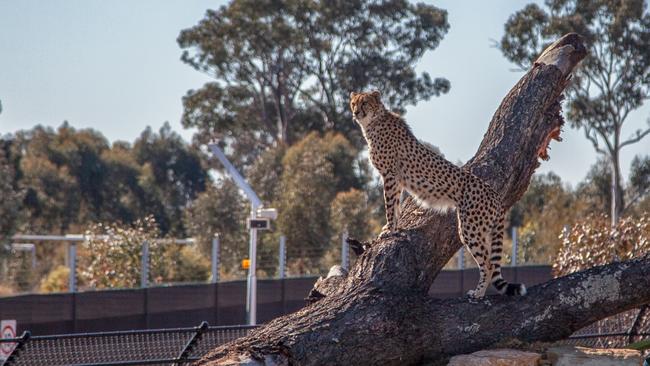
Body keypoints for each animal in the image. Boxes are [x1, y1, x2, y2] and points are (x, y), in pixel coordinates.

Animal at [346, 90, 524, 298]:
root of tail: (495, 194)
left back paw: (478, 293)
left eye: (365, 103)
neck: (374, 121)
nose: (356, 112)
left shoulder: (389, 175)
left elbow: (389, 206)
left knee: (488, 264)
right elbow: (395, 205)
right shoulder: (397, 180)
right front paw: (393, 228)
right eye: (353, 103)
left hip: (470, 228)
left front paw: (388, 230)